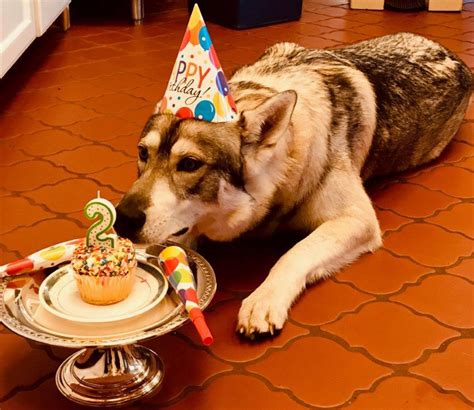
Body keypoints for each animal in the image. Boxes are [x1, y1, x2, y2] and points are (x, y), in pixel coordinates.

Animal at [114, 33, 470, 338]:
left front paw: (264, 299)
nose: (123, 219)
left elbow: (294, 254)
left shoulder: (356, 219)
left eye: (189, 164)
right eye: (143, 153)